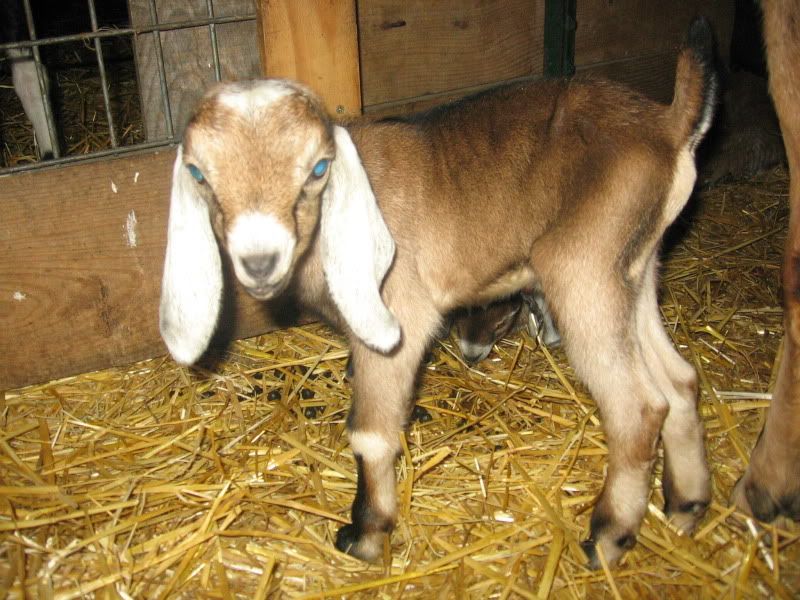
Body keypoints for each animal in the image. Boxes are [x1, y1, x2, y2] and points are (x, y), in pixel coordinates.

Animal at [159, 18, 717, 567]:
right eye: (198, 173)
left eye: (318, 167)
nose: (260, 261)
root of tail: (665, 125)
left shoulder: (399, 314)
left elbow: (370, 433)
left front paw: (366, 536)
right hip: (636, 272)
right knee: (680, 381)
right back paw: (685, 507)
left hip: (584, 271)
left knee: (639, 408)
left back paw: (608, 538)